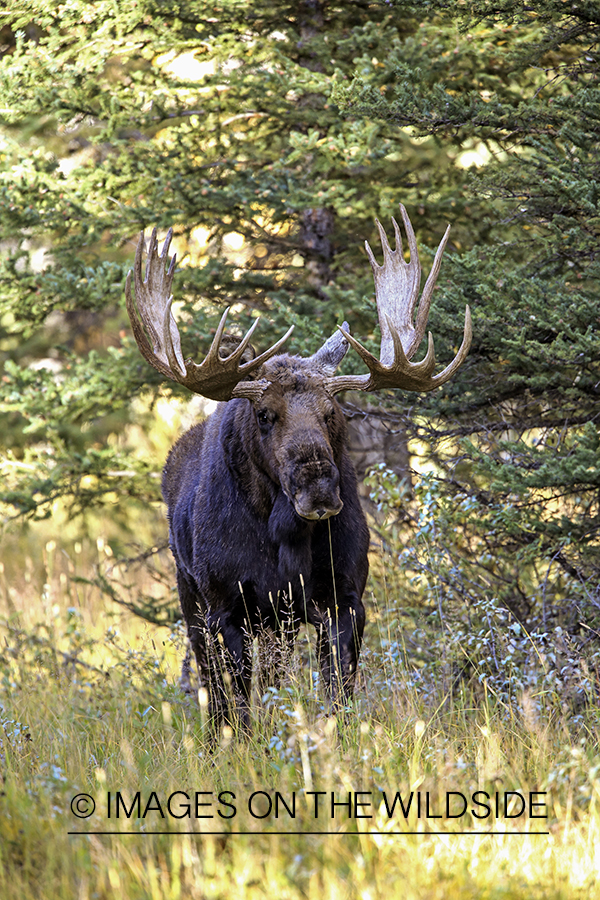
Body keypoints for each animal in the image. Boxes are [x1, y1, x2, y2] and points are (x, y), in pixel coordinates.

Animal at [125, 205, 471, 732]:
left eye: (333, 412)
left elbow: (338, 690)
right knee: (212, 690)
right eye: (265, 415)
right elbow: (241, 703)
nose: (319, 489)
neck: (283, 534)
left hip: (278, 623)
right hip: (191, 599)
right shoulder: (228, 607)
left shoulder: (343, 597)